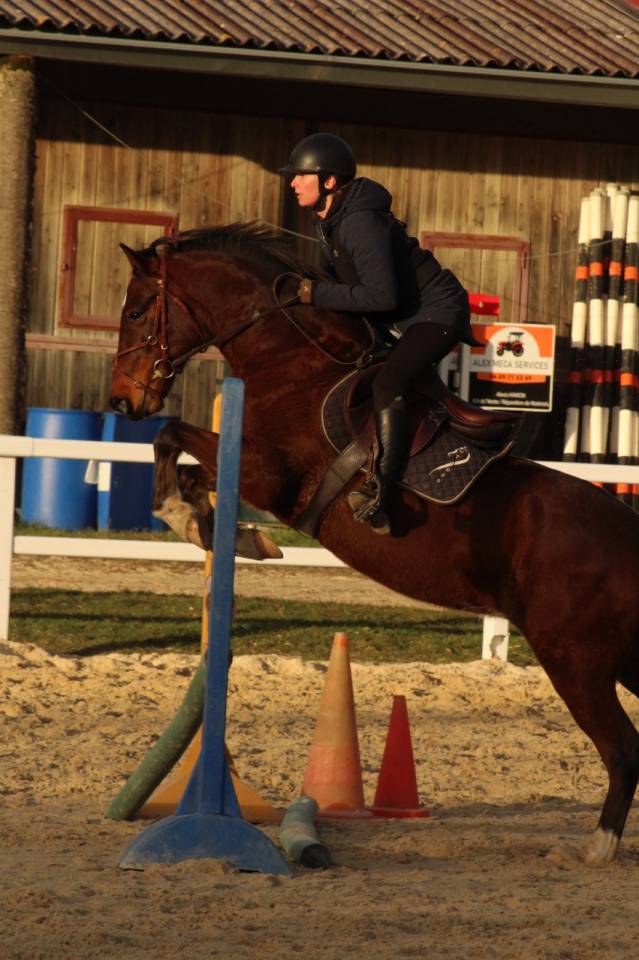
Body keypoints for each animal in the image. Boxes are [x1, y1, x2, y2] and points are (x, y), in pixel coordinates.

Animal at [110, 223, 639, 866]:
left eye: (136, 312)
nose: (121, 401)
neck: (291, 363)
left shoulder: (270, 477)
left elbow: (171, 438)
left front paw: (211, 526)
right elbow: (185, 470)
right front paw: (226, 534)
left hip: (575, 662)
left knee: (623, 748)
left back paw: (597, 848)